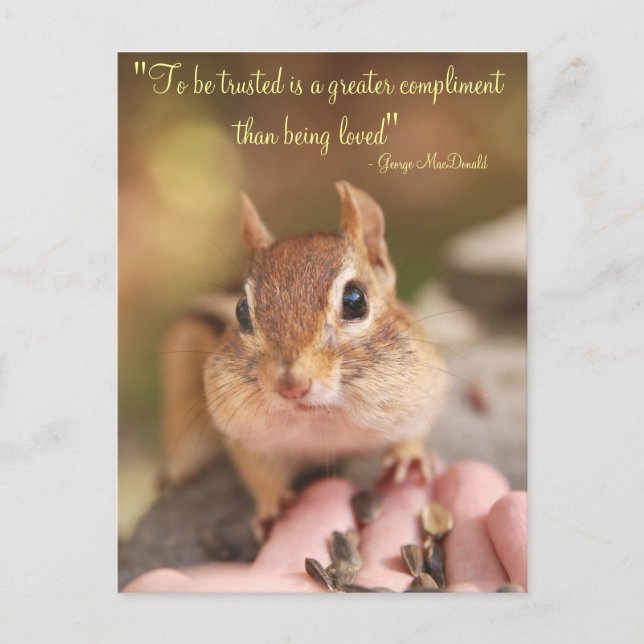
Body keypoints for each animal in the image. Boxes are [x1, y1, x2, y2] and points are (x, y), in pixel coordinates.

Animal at [160, 181, 448, 531]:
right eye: (241, 311)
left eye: (355, 300)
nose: (290, 385)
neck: (321, 418)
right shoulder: (243, 433)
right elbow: (257, 471)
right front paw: (272, 506)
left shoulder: (425, 387)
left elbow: (416, 428)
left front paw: (409, 456)